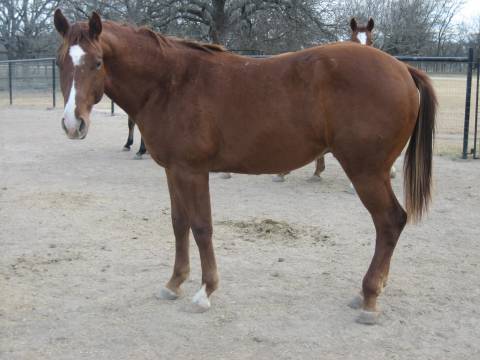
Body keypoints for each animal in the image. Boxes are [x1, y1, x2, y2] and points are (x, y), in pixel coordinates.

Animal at [54, 10, 436, 324]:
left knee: (390, 222)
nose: (73, 124)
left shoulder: (193, 171)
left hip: (367, 172)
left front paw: (205, 291)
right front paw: (174, 283)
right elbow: (179, 225)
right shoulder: (173, 170)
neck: (171, 83)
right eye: (60, 62)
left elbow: (201, 227)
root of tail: (401, 68)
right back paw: (370, 292)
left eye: (98, 62)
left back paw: (369, 297)